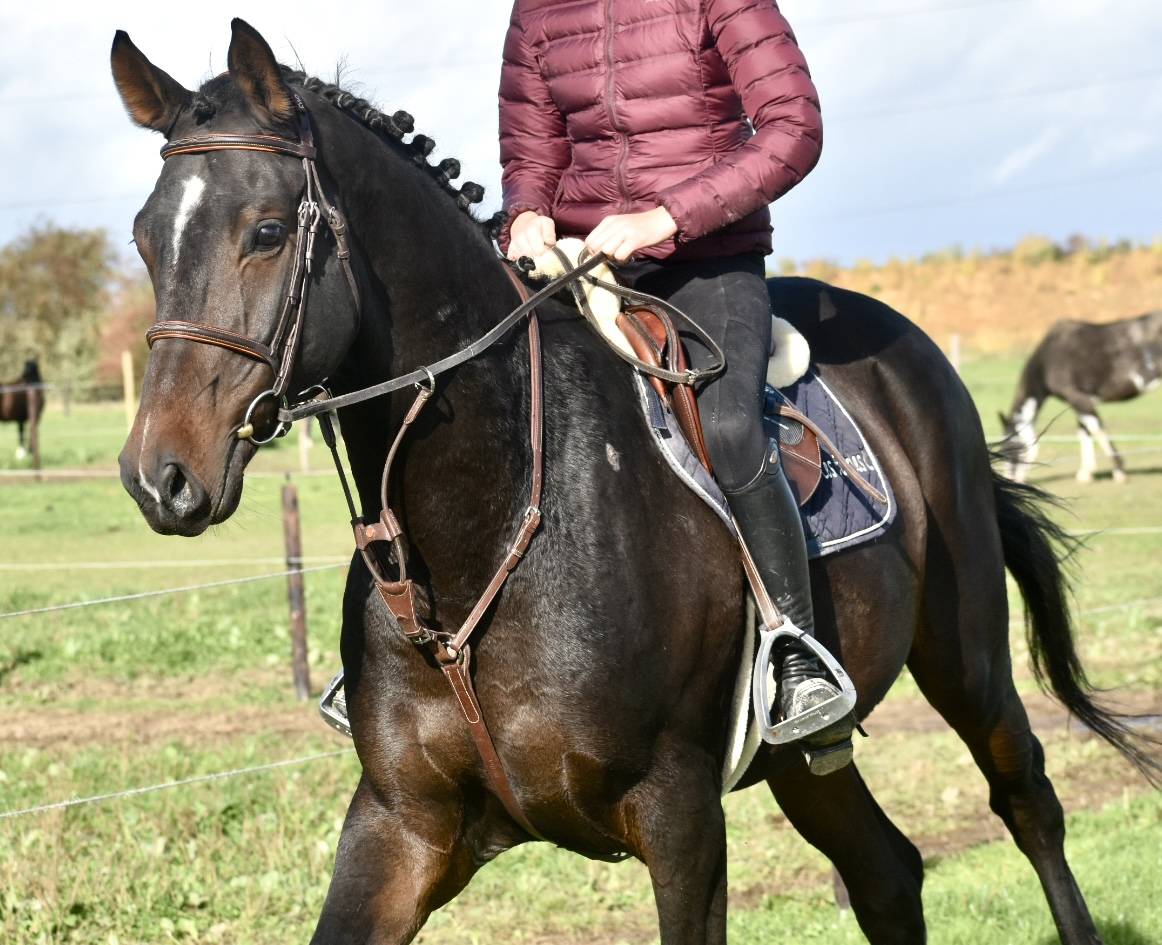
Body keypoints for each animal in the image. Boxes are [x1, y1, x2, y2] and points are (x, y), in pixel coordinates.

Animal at [1000, 311, 1162, 484]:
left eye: (1011, 447)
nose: (1010, 479)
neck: (1048, 359)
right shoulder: (1080, 402)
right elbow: (1084, 432)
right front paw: (1086, 473)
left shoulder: (1078, 398)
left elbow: (1096, 429)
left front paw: (1119, 471)